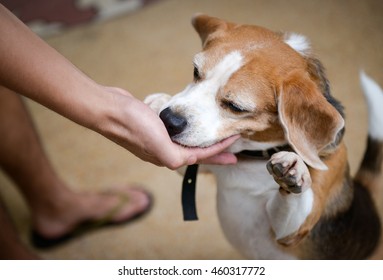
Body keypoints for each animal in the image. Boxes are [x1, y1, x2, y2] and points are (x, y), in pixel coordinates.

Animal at [145, 15, 383, 260]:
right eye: (195, 71)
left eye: (235, 107)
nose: (169, 119)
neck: (254, 156)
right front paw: (158, 102)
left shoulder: (293, 230)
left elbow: (294, 207)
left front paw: (293, 170)